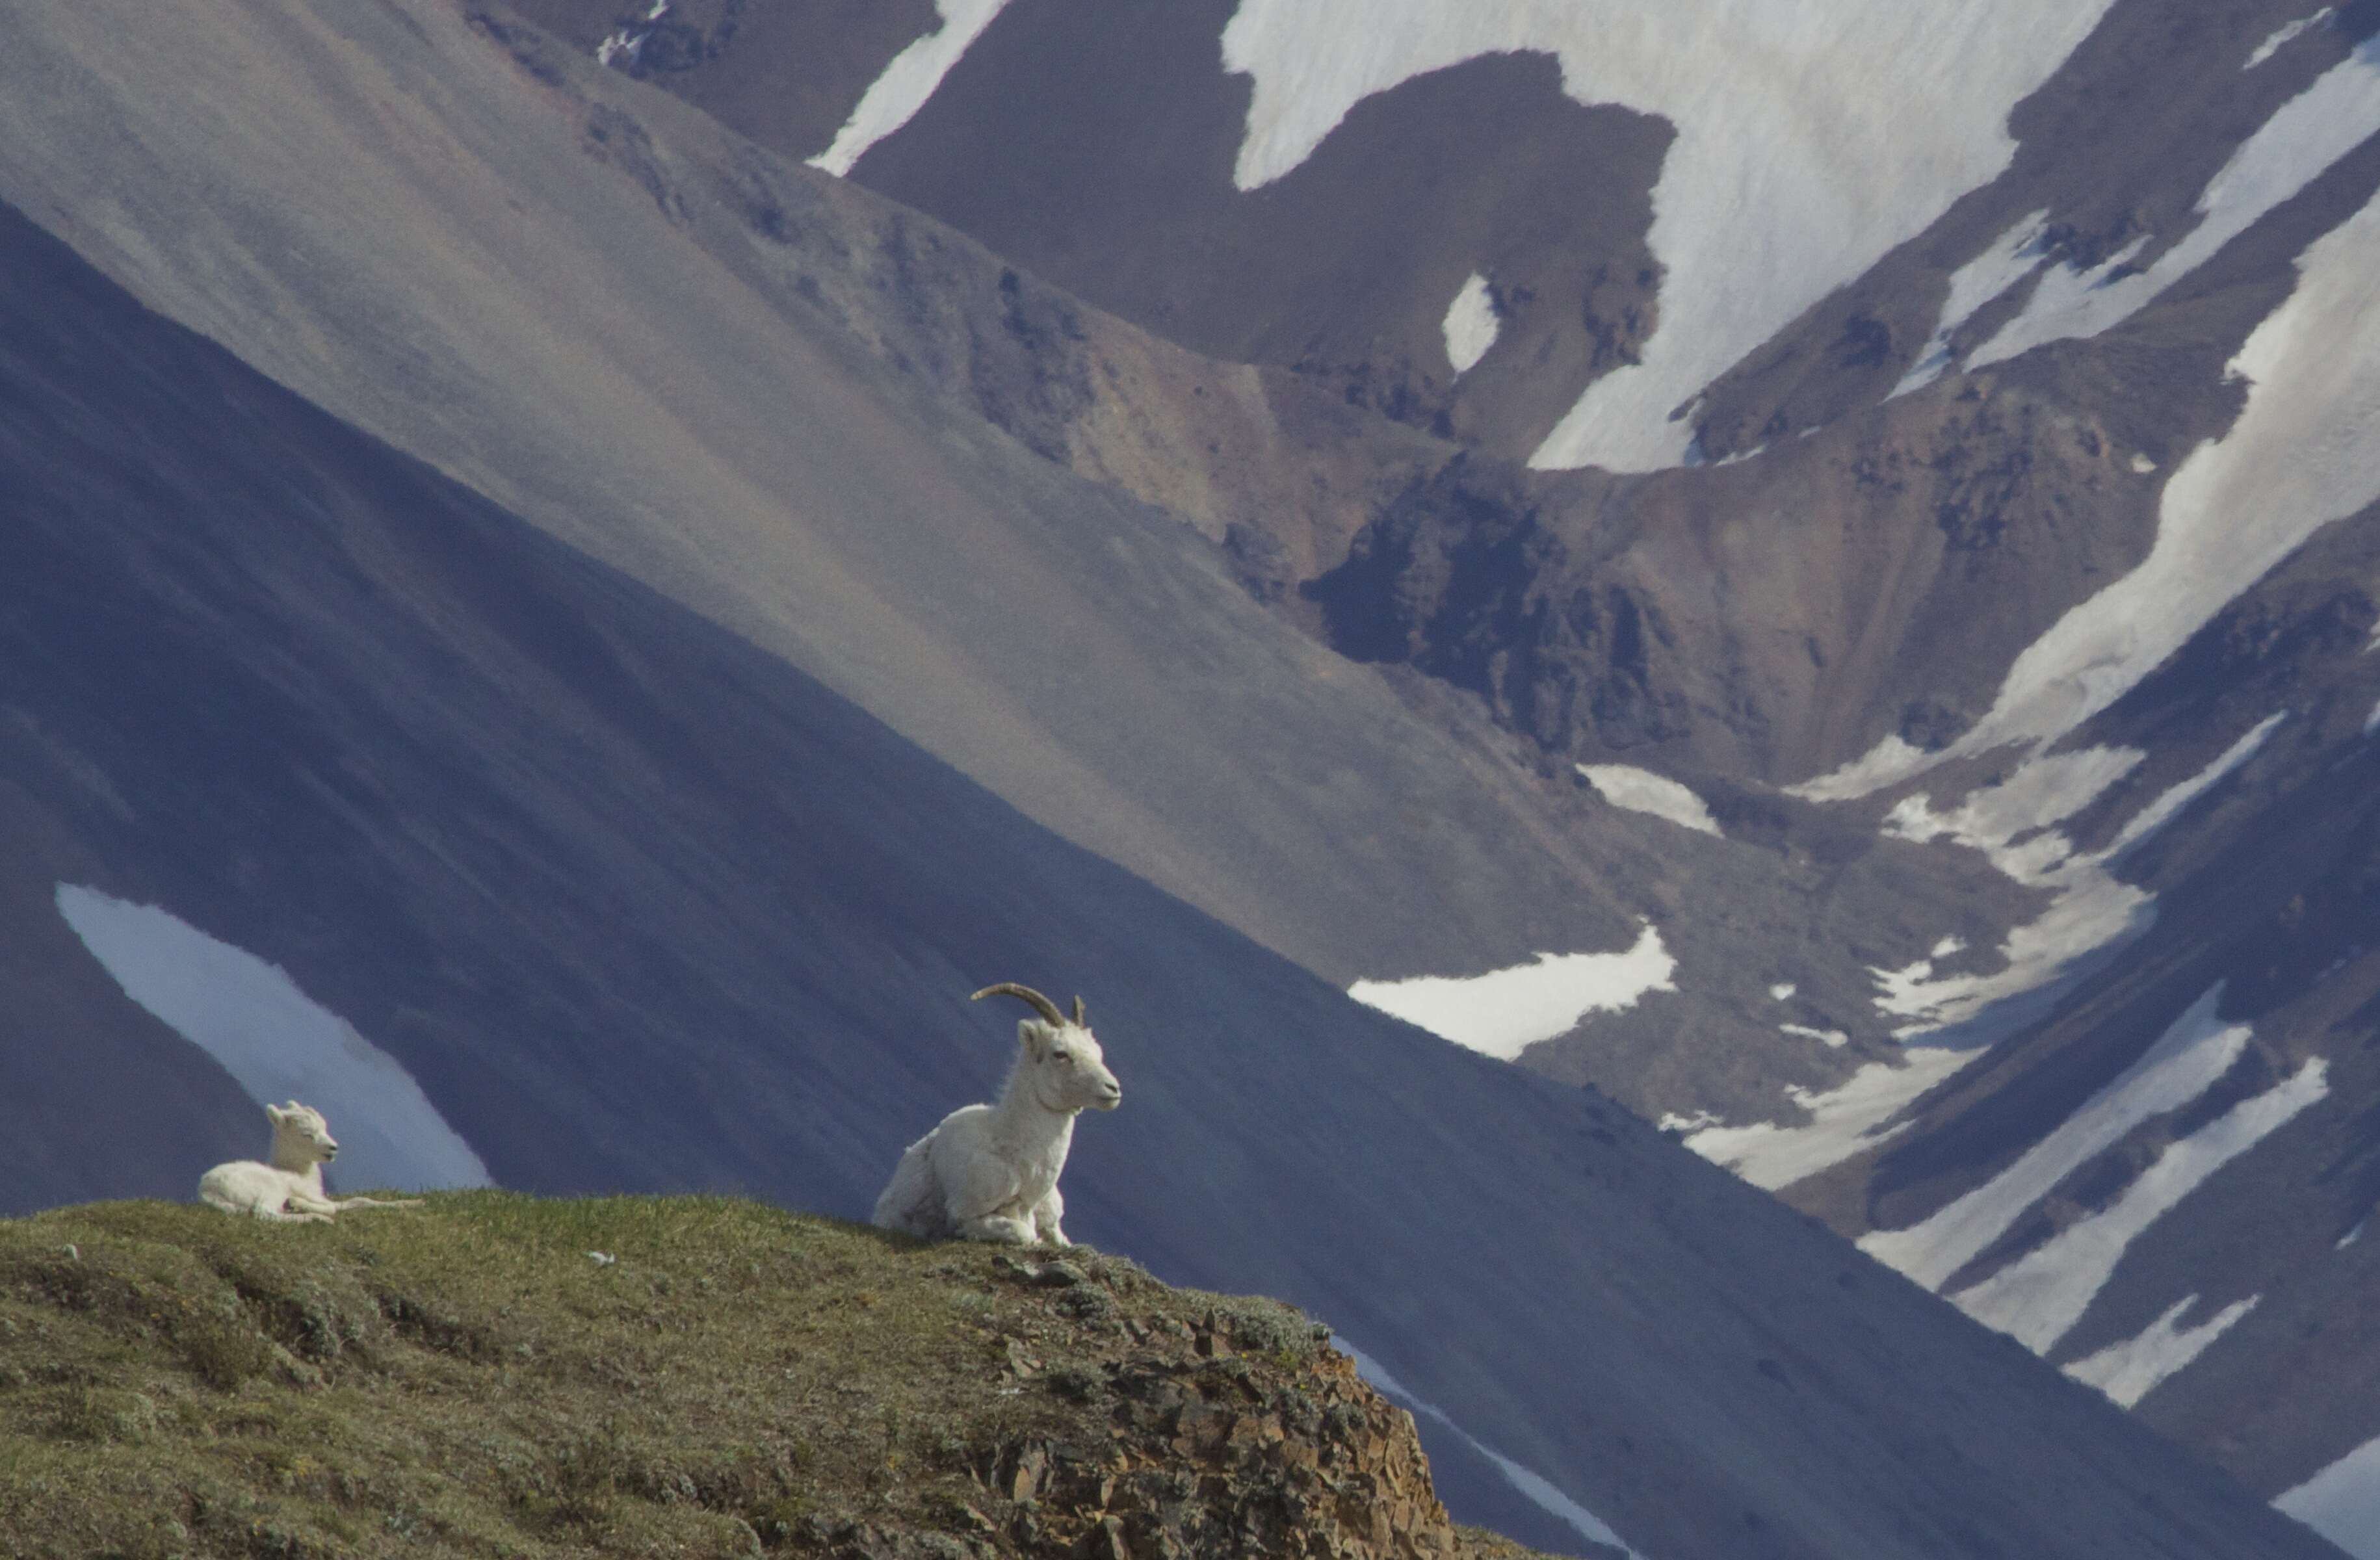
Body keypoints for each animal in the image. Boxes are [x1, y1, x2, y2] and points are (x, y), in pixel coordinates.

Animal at [196, 1103, 428, 1227]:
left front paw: (415, 1203)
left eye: (324, 1127)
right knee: (265, 1214)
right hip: (268, 1191)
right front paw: (298, 1204)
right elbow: (337, 1207)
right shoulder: (311, 1195)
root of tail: (209, 1192)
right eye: (307, 1134)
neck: (298, 1172)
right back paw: (316, 1218)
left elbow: (361, 1201)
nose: (333, 1148)